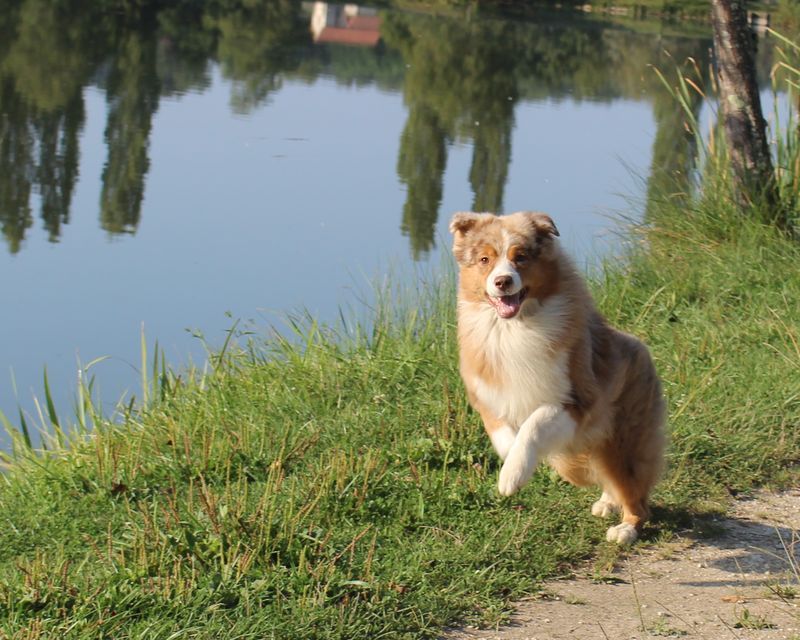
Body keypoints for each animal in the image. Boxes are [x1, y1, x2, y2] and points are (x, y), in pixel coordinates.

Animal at [450, 212, 664, 544]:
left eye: (521, 257)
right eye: (485, 259)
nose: (502, 281)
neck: (514, 328)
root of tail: (640, 347)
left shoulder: (578, 402)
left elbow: (534, 424)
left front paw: (512, 475)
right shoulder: (487, 396)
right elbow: (503, 434)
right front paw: (514, 464)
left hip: (623, 442)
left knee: (637, 496)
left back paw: (627, 528)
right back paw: (607, 502)